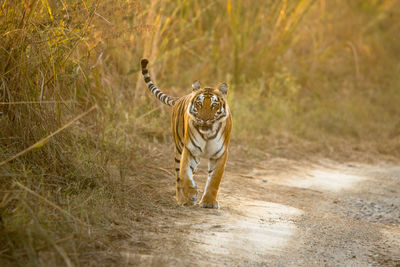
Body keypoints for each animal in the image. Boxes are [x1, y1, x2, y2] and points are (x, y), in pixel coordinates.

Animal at [140, 58, 231, 209]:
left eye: (214, 105)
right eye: (199, 104)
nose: (204, 119)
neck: (207, 134)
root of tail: (180, 98)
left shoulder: (220, 154)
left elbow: (214, 180)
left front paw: (209, 202)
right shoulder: (190, 149)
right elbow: (184, 174)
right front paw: (191, 193)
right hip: (178, 148)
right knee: (178, 176)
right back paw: (182, 200)